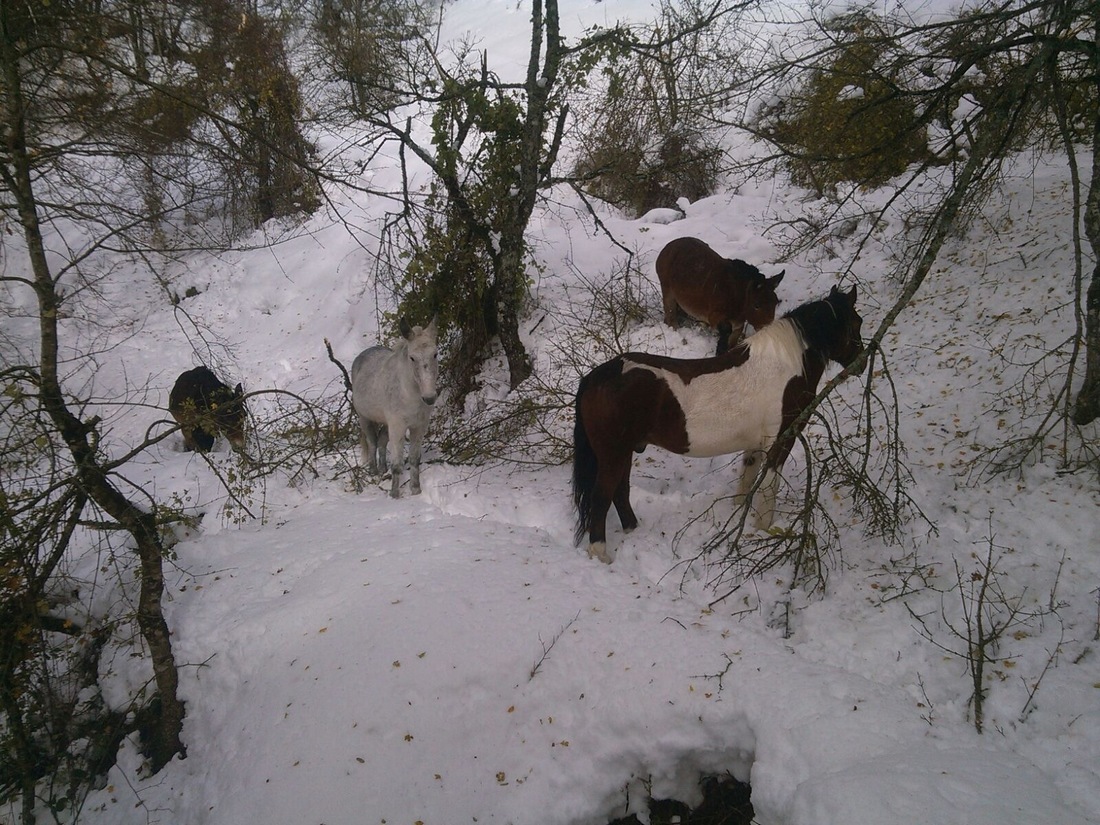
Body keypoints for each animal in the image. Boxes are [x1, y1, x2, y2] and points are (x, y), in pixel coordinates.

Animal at [351, 317, 439, 498]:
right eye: (412, 358)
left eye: (435, 354)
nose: (429, 397)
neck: (410, 395)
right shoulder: (398, 427)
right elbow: (397, 464)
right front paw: (394, 494)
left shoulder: (419, 427)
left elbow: (414, 459)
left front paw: (416, 490)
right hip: (365, 418)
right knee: (372, 442)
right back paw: (373, 470)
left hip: (386, 423)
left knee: (382, 442)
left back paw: (383, 469)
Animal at [572, 286, 864, 563]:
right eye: (856, 323)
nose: (860, 363)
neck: (786, 367)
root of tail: (598, 376)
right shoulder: (781, 440)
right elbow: (769, 486)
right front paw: (763, 528)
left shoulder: (756, 444)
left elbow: (749, 478)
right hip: (613, 455)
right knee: (602, 497)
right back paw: (600, 553)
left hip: (625, 452)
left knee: (620, 492)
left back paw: (634, 529)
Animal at [655, 236, 785, 355]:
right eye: (757, 305)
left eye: (775, 302)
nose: (770, 331)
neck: (737, 295)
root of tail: (668, 247)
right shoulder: (715, 317)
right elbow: (726, 332)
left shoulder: (738, 324)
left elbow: (732, 342)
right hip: (668, 293)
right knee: (671, 317)